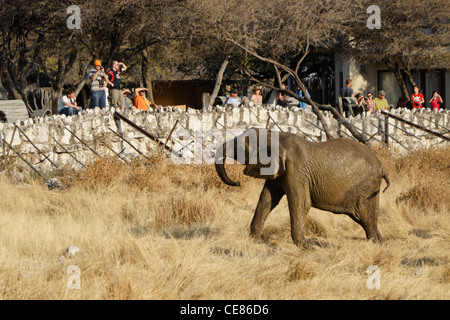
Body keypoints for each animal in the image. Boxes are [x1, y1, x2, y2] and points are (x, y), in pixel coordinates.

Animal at [215, 128, 390, 248]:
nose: (238, 182)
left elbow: (301, 203)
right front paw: (256, 241)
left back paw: (376, 243)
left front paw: (305, 247)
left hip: (366, 188)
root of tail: (382, 167)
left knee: (364, 216)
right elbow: (267, 199)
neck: (276, 136)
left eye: (240, 147)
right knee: (367, 219)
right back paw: (380, 243)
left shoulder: (296, 170)